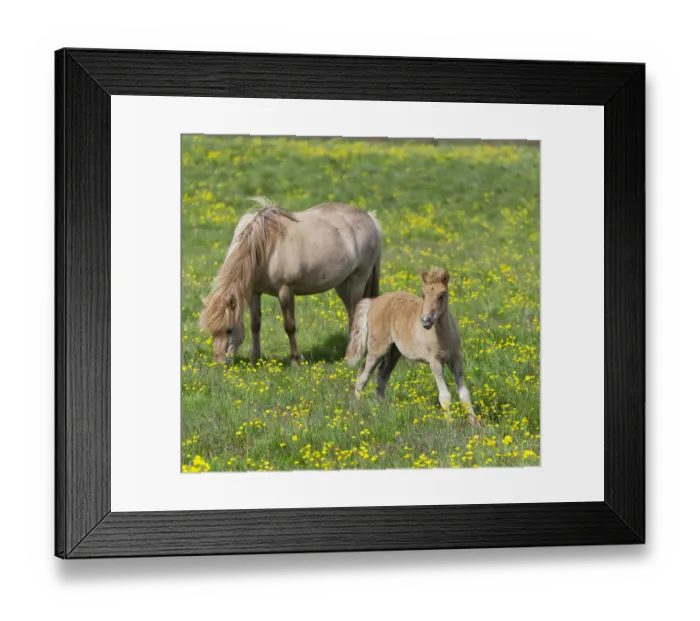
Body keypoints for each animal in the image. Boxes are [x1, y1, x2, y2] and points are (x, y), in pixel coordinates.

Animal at [199, 198, 382, 364]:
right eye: (212, 331)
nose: (219, 362)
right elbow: (255, 324)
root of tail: (370, 218)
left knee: (356, 315)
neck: (264, 248)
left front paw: (295, 359)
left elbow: (289, 326)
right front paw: (255, 358)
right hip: (343, 285)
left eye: (229, 330)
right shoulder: (254, 292)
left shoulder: (285, 291)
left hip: (357, 281)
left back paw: (352, 357)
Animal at [345, 267, 475, 420]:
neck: (443, 336)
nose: (426, 321)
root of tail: (373, 302)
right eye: (423, 295)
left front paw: (475, 422)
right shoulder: (435, 362)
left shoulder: (456, 358)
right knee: (363, 375)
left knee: (381, 374)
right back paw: (358, 408)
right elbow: (445, 396)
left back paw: (380, 407)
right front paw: (450, 423)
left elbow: (464, 393)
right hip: (377, 349)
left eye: (441, 295)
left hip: (393, 352)